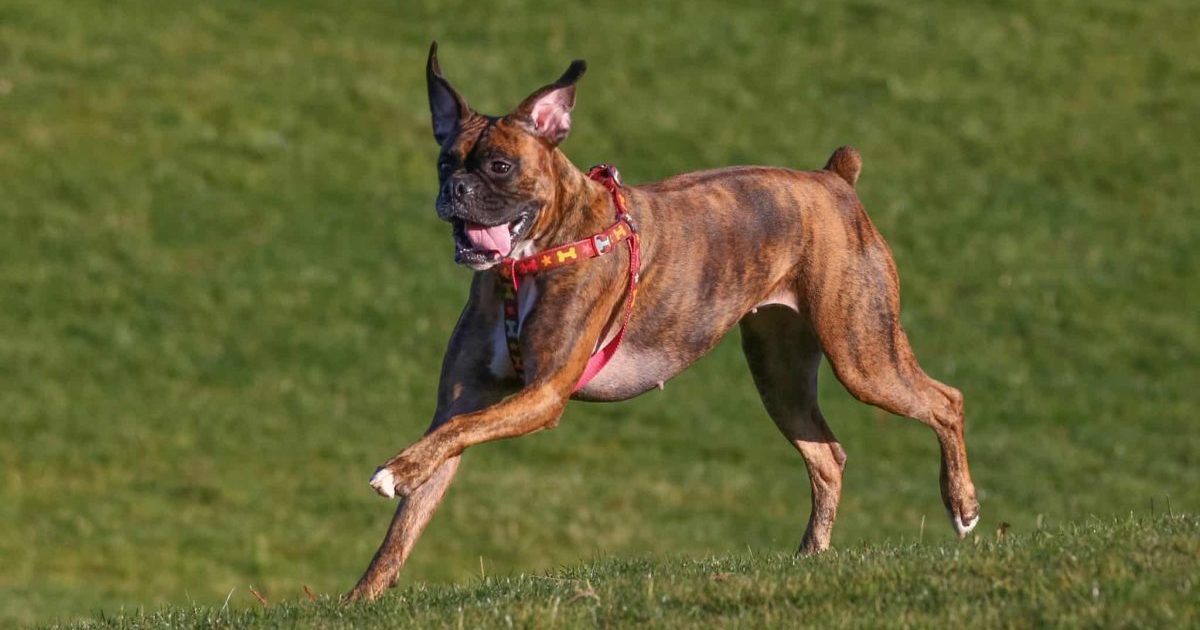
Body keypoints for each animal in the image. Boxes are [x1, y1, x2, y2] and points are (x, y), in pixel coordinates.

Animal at [347, 42, 980, 600]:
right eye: (444, 162)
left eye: (500, 166)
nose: (455, 189)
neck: (533, 258)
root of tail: (833, 180)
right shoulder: (463, 399)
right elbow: (414, 507)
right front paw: (363, 596)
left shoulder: (542, 395)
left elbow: (453, 436)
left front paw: (394, 470)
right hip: (780, 374)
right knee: (828, 457)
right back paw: (809, 558)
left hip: (862, 354)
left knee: (945, 401)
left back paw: (962, 506)